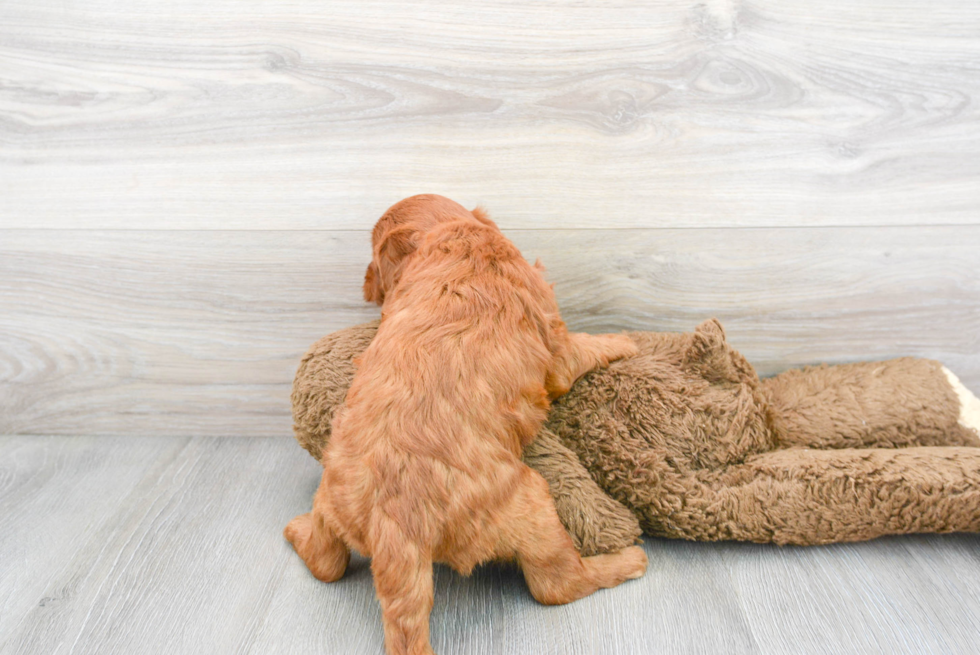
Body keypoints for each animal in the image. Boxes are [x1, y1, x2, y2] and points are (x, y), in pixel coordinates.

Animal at [288, 195, 648, 655]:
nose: (364, 284)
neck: (453, 238)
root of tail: (394, 529)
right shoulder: (556, 347)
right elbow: (582, 349)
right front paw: (623, 339)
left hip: (331, 499)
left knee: (325, 562)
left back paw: (295, 530)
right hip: (532, 503)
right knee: (556, 585)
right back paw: (627, 562)